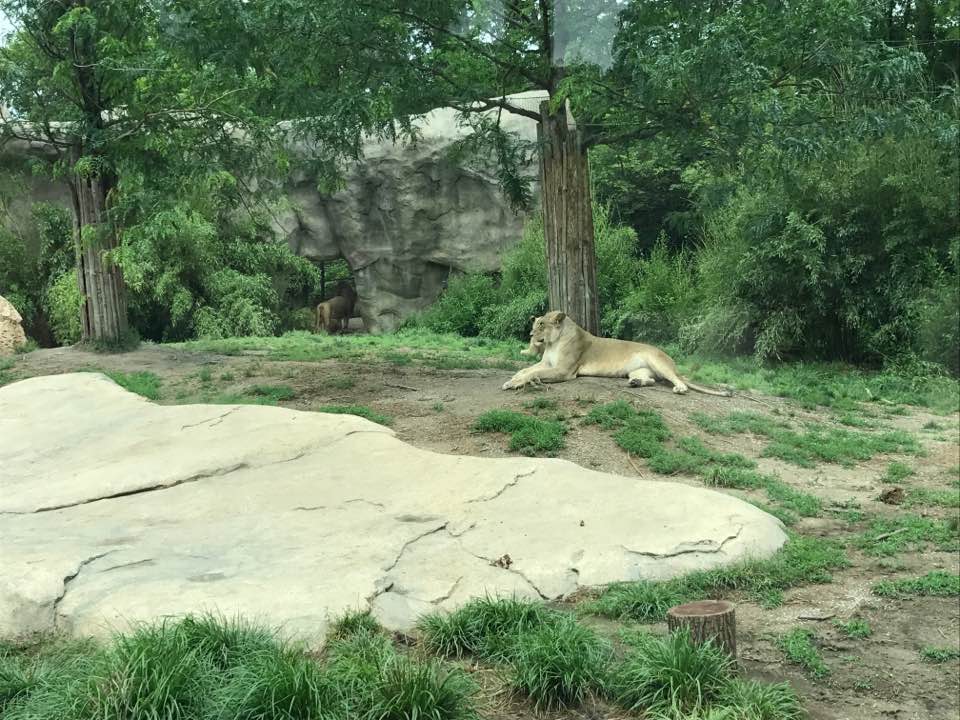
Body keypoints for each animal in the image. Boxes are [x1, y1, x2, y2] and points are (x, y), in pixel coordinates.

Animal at [503, 310, 731, 396]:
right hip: (639, 370)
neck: (553, 343)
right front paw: (513, 379)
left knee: (677, 380)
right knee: (652, 380)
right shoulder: (548, 364)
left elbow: (532, 372)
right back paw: (635, 383)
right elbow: (526, 370)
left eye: (541, 324)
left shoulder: (564, 370)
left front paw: (515, 383)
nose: (530, 334)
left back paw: (679, 388)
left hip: (657, 361)